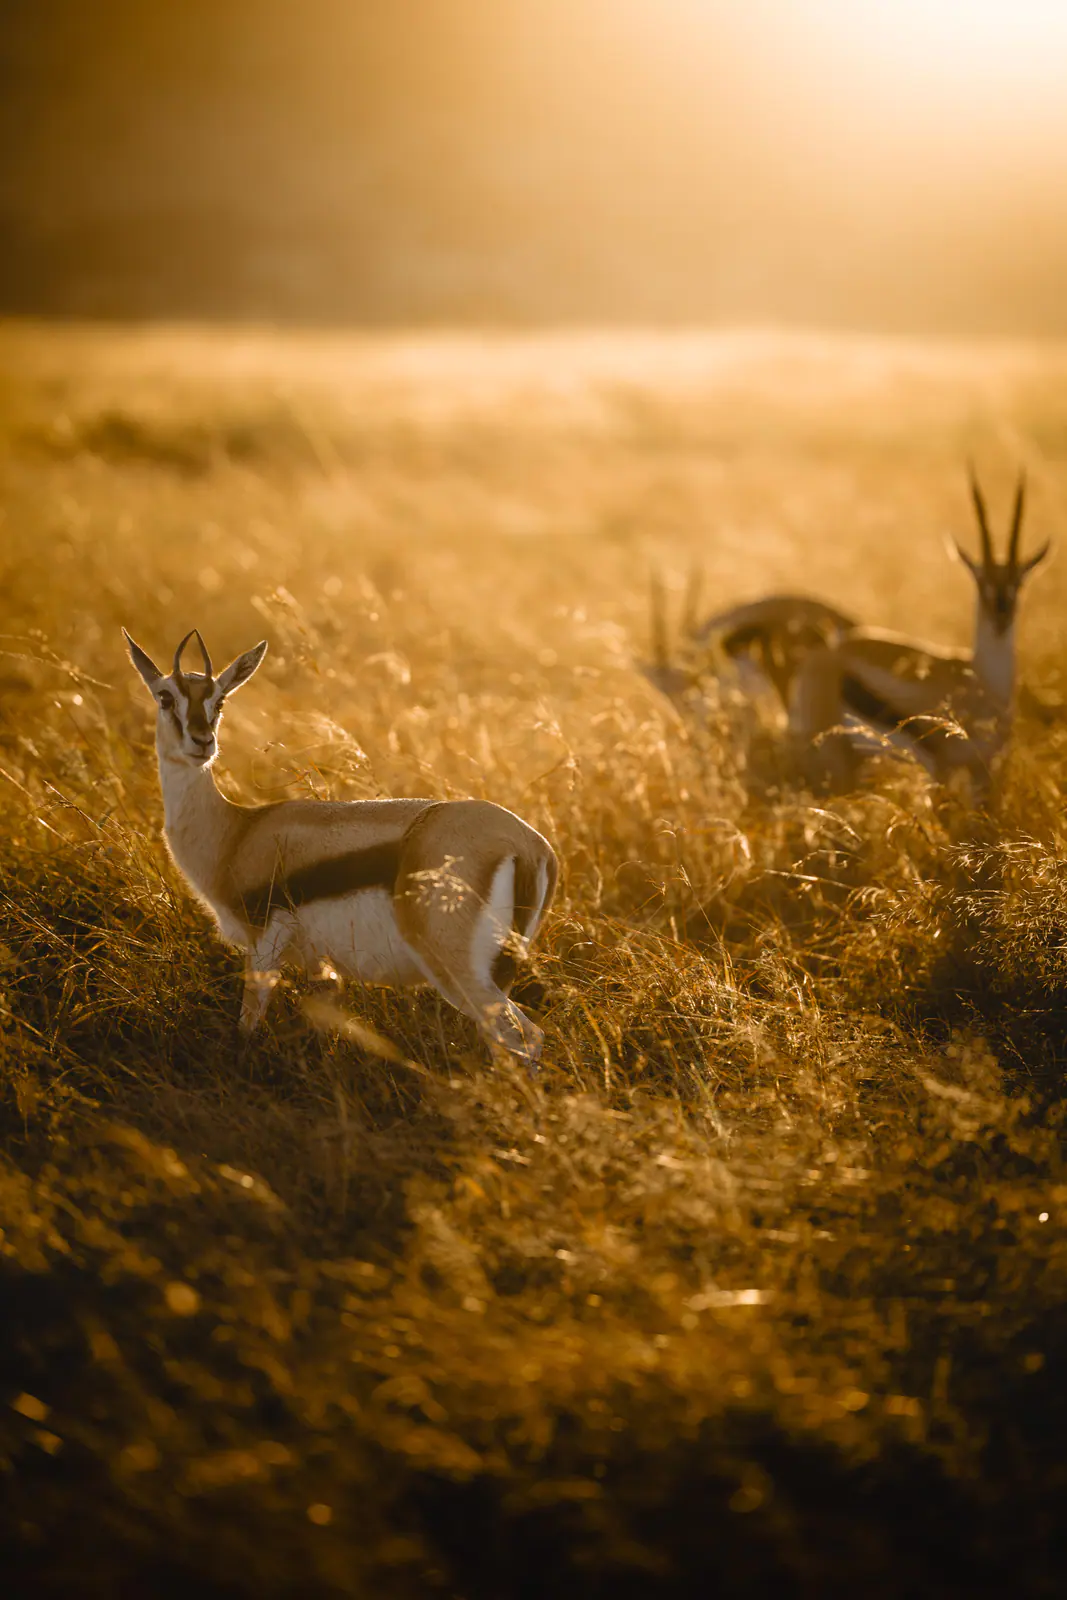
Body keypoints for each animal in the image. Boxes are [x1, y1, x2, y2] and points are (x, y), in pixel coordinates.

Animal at [123, 628, 558, 1066]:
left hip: (456, 970)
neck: (237, 832)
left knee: (526, 1036)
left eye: (220, 700)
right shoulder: (321, 966)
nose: (202, 742)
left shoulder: (263, 943)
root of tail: (528, 844)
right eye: (165, 697)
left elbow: (246, 1027)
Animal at [788, 468, 1051, 789]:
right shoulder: (949, 772)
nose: (1000, 617)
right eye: (980, 582)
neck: (983, 684)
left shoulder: (982, 774)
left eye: (1018, 584)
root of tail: (820, 656)